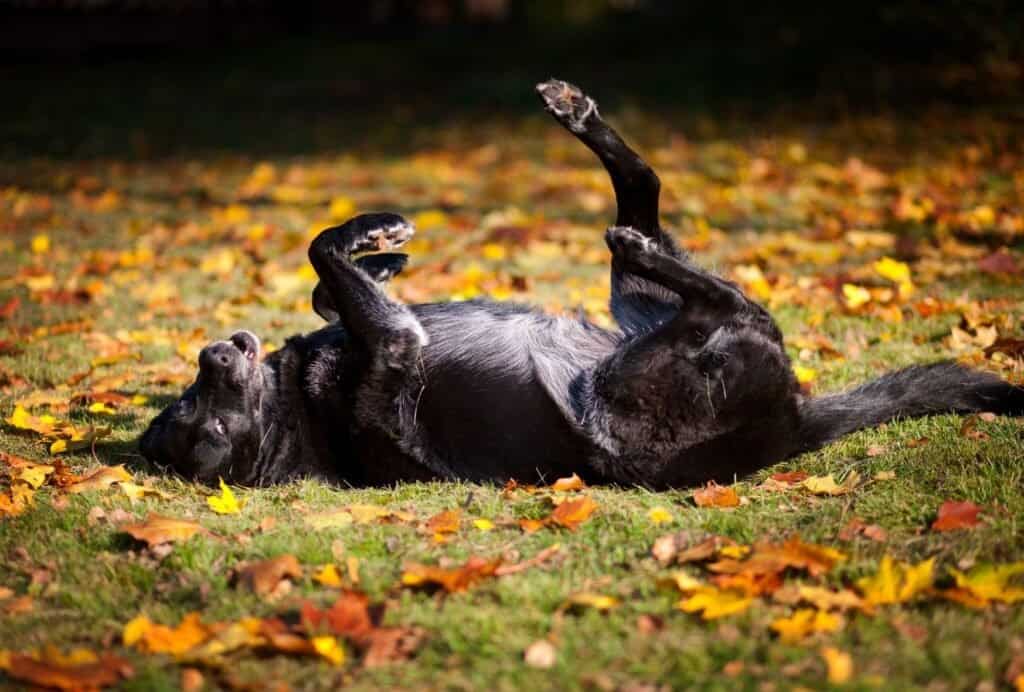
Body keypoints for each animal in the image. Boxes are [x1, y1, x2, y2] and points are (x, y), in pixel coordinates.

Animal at [138, 78, 1024, 487]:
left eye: (189, 402)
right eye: (207, 428)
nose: (217, 357)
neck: (299, 411)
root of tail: (794, 421)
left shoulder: (362, 326)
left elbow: (329, 275)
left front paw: (379, 247)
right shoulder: (395, 339)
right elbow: (325, 256)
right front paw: (367, 247)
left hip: (632, 305)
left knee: (647, 188)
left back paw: (577, 116)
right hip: (641, 369)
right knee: (717, 295)